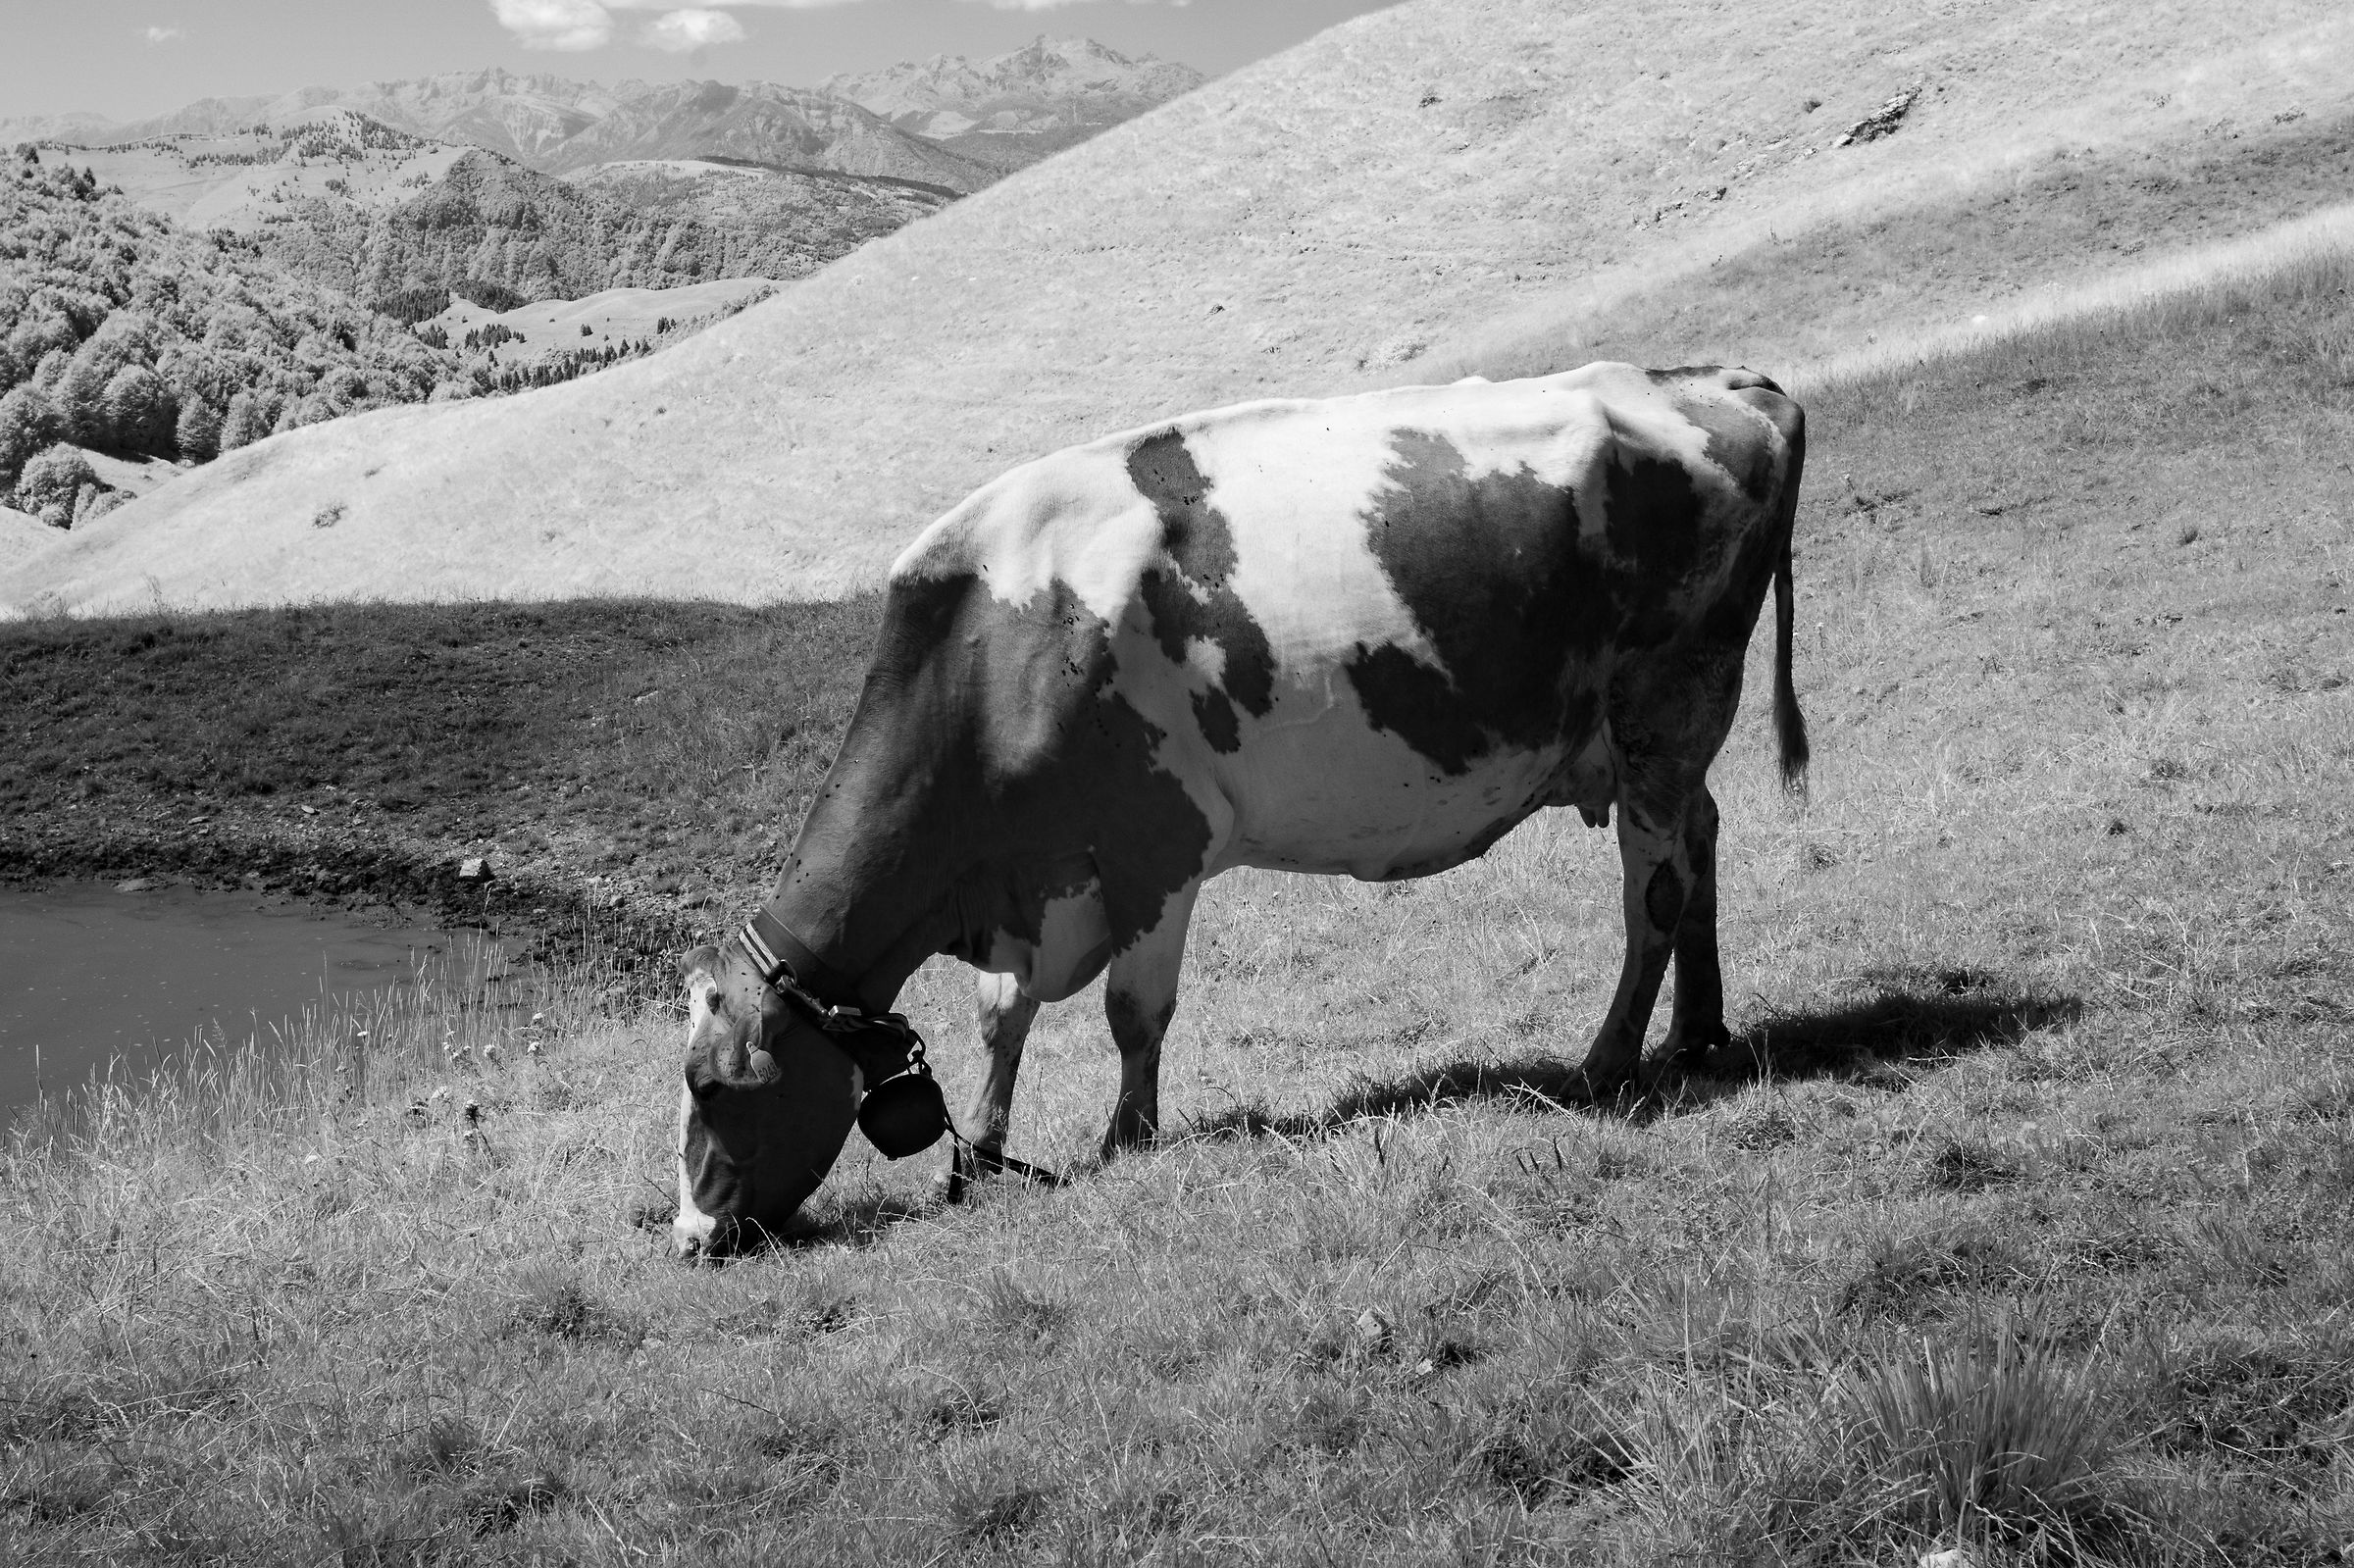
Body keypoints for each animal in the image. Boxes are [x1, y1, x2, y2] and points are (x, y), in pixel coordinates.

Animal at [673, 361, 1808, 1257]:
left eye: (709, 1087)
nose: (688, 1238)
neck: (990, 651)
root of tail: (1707, 381)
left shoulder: (1155, 848)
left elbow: (1133, 1012)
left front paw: (1127, 1139)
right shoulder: (1040, 883)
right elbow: (1003, 1017)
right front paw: (983, 1156)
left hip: (1665, 704)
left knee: (1654, 890)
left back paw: (1607, 1062)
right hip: (1660, 745)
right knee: (1700, 846)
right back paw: (1697, 1033)